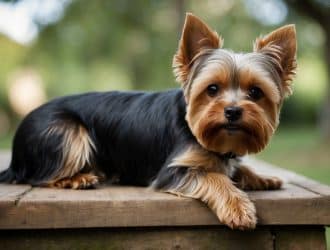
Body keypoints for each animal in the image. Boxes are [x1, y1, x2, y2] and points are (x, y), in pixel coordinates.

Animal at [0, 13, 296, 229]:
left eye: (255, 92)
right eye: (212, 89)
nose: (233, 111)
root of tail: (15, 153)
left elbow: (235, 168)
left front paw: (263, 177)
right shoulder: (174, 171)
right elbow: (215, 177)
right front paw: (238, 208)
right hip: (67, 130)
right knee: (41, 176)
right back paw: (78, 178)